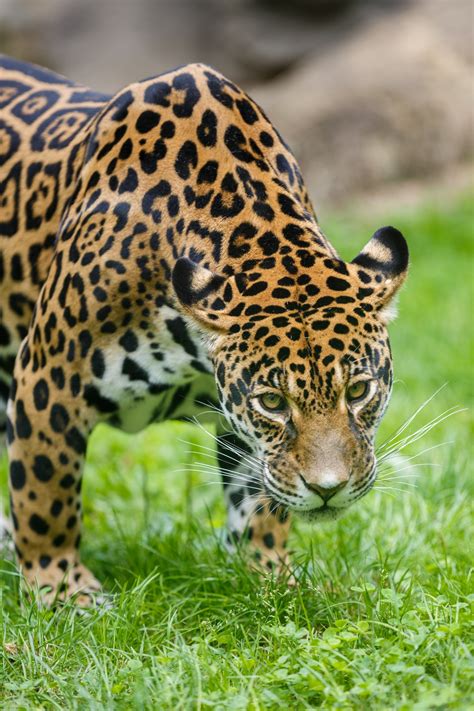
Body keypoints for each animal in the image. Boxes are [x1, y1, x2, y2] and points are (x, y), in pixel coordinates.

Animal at [0, 55, 409, 606]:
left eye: (360, 391)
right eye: (273, 402)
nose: (329, 489)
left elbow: (259, 496)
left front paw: (269, 575)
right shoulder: (48, 378)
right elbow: (46, 493)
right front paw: (64, 591)